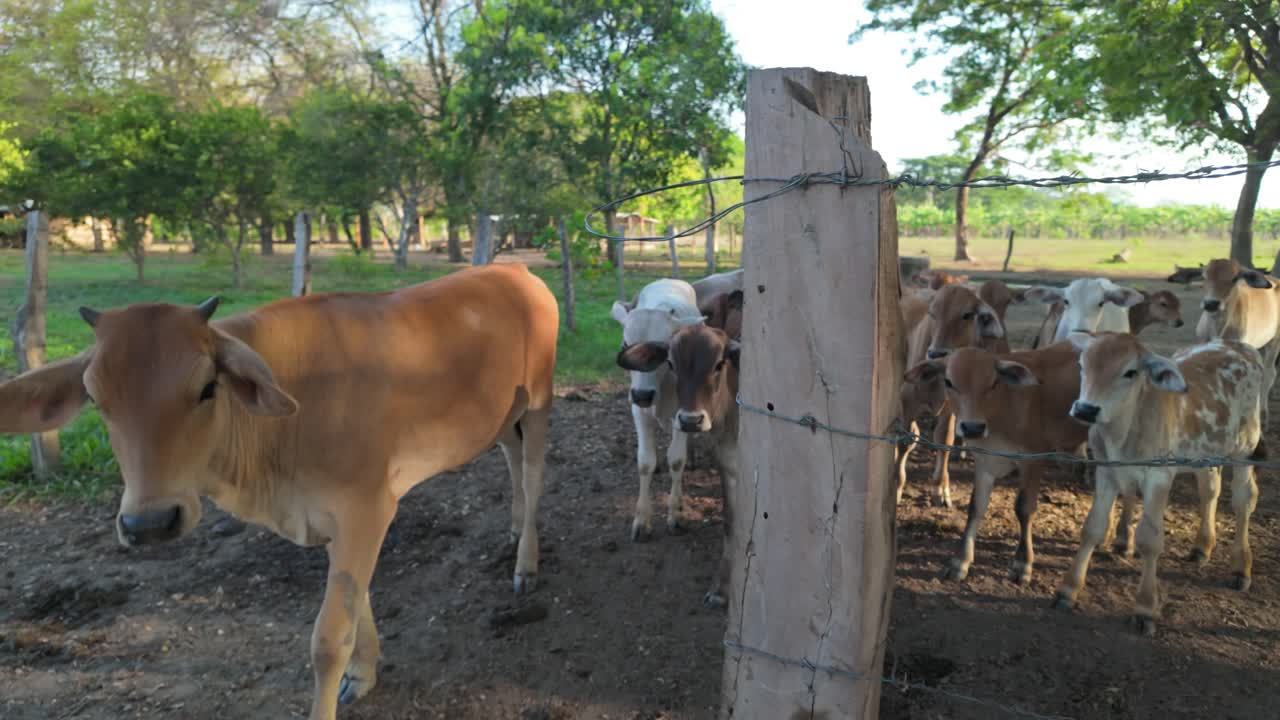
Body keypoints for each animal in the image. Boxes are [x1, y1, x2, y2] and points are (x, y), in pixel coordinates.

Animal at [0, 263, 559, 720]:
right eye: (96, 399)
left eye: (207, 387)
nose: (150, 523)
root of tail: (516, 270)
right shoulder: (338, 520)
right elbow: (358, 602)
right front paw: (364, 673)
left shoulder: (368, 508)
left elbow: (329, 638)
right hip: (501, 416)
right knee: (511, 457)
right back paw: (513, 531)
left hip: (538, 400)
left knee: (534, 476)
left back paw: (526, 563)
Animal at [610, 278, 705, 540]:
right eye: (625, 344)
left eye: (663, 351)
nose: (643, 394)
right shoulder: (638, 410)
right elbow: (645, 462)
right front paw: (642, 520)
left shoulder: (683, 412)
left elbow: (677, 460)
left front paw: (675, 514)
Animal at [617, 318, 740, 609]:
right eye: (671, 363)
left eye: (719, 364)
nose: (690, 420)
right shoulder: (727, 466)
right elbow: (731, 523)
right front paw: (721, 589)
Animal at [895, 281, 1012, 508]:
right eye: (932, 313)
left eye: (967, 315)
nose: (936, 353)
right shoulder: (907, 400)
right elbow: (902, 442)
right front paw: (895, 487)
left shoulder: (951, 407)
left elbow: (945, 440)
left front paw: (941, 488)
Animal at [1054, 331, 1264, 637]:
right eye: (1082, 365)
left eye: (1130, 372)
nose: (1086, 409)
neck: (1124, 433)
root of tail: (1237, 346)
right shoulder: (1105, 471)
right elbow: (1092, 527)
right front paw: (1068, 590)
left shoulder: (1159, 476)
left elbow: (1150, 539)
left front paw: (1144, 608)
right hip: (1205, 451)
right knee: (1209, 488)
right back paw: (1202, 547)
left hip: (1245, 446)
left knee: (1244, 498)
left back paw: (1241, 567)